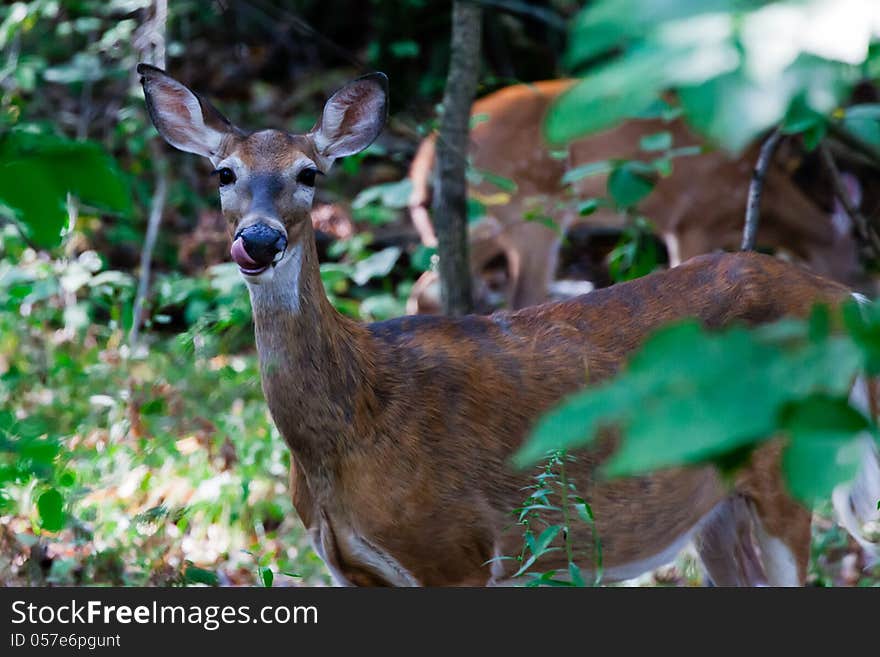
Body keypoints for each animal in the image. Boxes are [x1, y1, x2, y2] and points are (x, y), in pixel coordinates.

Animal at [406, 79, 868, 316]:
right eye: (859, 264)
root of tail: (427, 150)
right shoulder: (690, 221)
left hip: (486, 219)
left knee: (428, 286)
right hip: (531, 207)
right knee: (523, 295)